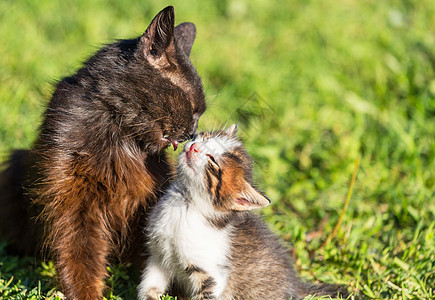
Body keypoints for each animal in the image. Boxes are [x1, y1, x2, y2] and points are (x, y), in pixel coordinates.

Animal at [0, 6, 206, 300]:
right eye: (192, 107)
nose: (193, 132)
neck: (121, 135)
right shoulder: (72, 199)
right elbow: (79, 254)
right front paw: (85, 294)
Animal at [138, 125, 350, 300]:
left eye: (214, 163)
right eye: (204, 137)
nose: (193, 147)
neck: (184, 204)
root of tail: (295, 283)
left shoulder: (212, 275)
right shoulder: (158, 256)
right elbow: (149, 288)